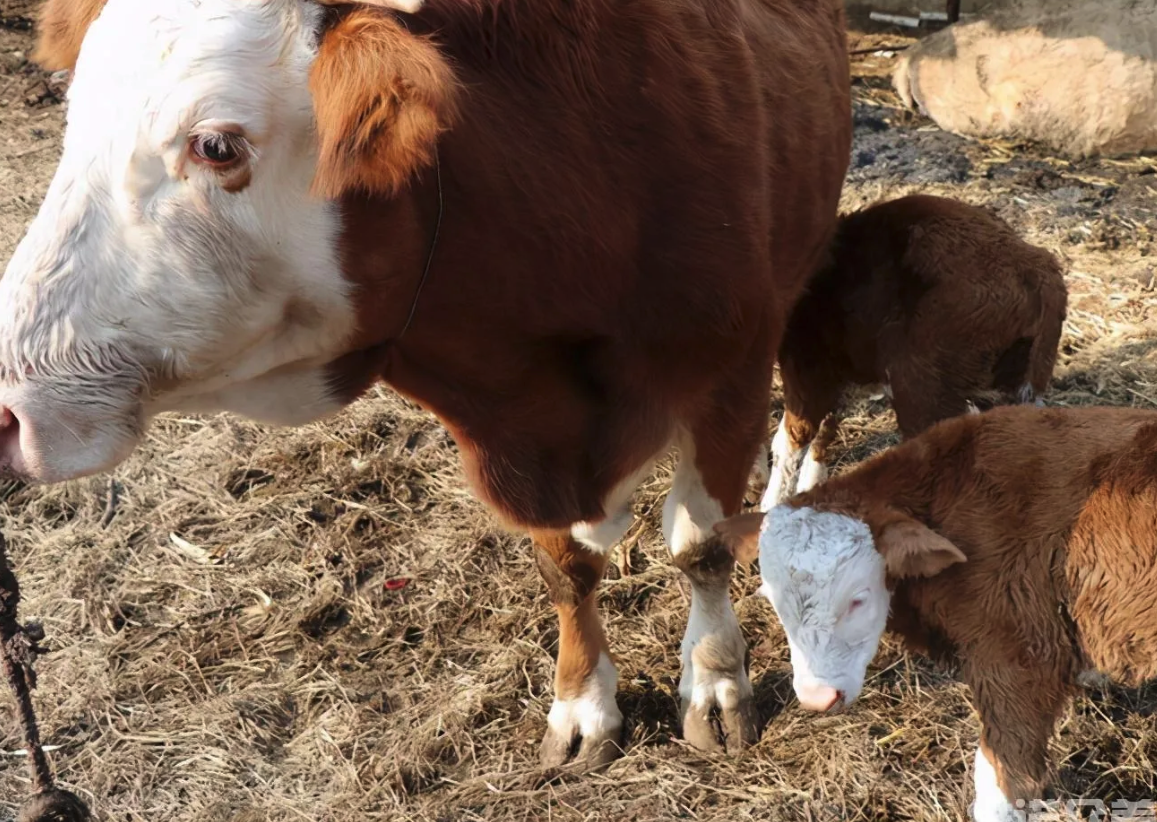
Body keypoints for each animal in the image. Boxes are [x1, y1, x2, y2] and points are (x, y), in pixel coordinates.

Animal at [0, 1, 851, 773]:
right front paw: (583, 706)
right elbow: (565, 569)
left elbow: (700, 547)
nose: (5, 411)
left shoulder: (726, 378)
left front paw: (714, 686)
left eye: (215, 146)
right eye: (74, 120)